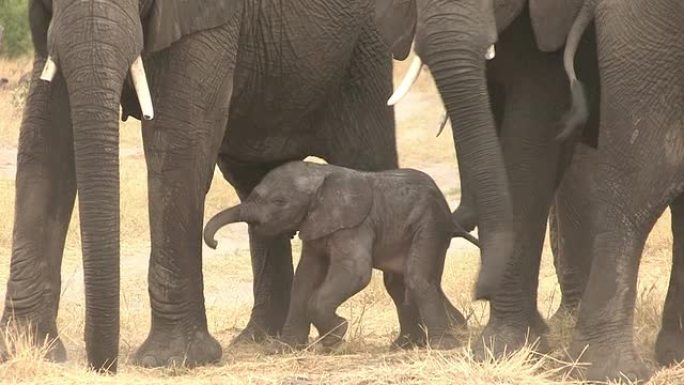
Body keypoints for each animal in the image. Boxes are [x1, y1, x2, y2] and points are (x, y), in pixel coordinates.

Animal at [203, 160, 468, 350]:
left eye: (278, 201)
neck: (318, 174)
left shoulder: (353, 225)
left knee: (416, 278)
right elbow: (304, 278)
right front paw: (283, 349)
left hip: (430, 223)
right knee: (401, 283)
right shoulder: (315, 225)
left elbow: (354, 272)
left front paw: (336, 336)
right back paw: (409, 345)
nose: (214, 243)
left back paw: (443, 345)